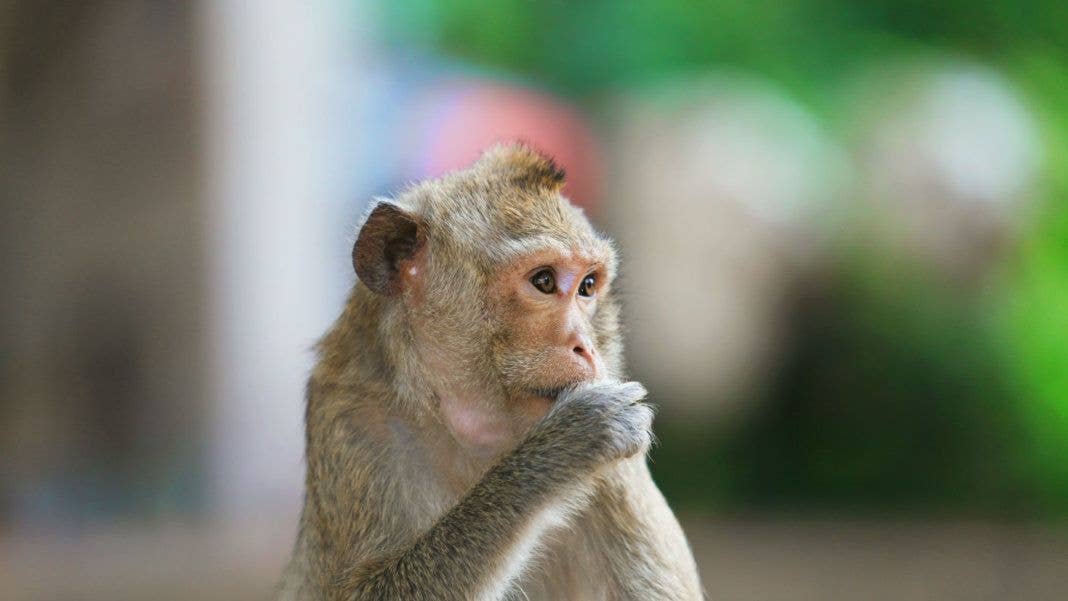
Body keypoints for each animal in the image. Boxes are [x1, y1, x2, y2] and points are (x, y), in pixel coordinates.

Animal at [276, 143, 704, 600]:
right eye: (543, 281)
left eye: (587, 286)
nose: (585, 348)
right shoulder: (351, 421)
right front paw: (557, 453)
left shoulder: (622, 474)